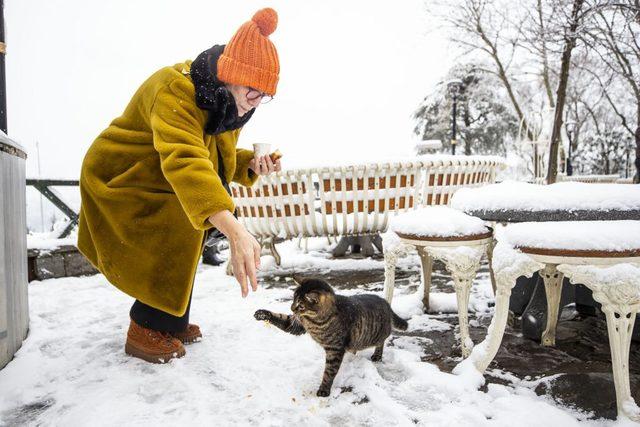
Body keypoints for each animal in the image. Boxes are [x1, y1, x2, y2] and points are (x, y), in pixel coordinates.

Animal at [252, 280, 408, 396]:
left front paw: (324, 389)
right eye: (293, 299)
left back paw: (377, 355)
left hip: (376, 335)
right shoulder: (297, 324)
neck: (313, 322)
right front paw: (262, 313)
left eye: (300, 305)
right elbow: (281, 318)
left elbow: (329, 372)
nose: (291, 308)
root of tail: (385, 302)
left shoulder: (335, 350)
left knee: (383, 341)